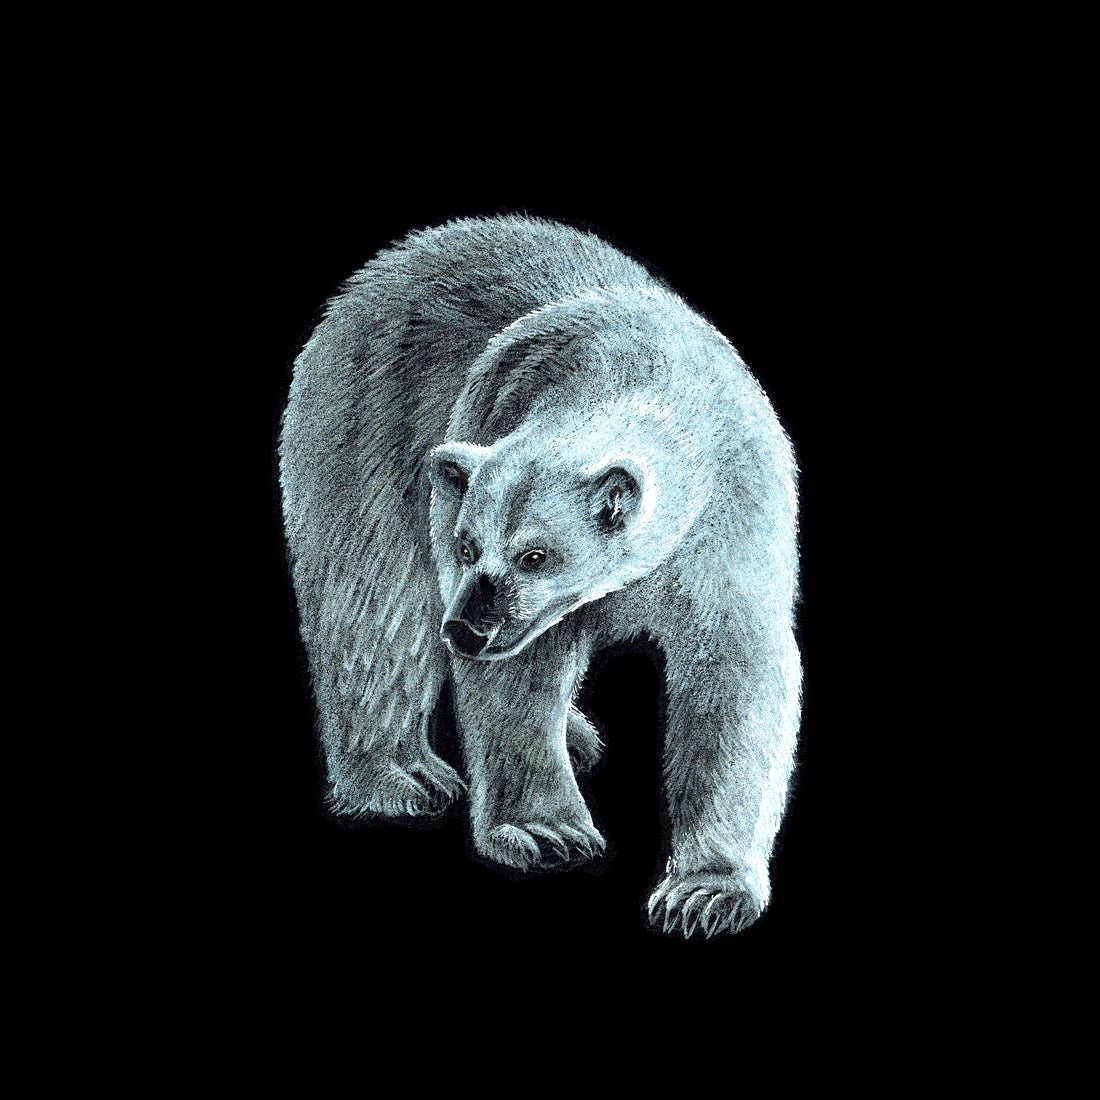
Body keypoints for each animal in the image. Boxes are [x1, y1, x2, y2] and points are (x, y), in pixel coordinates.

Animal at [279, 215, 801, 938]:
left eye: (536, 554)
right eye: (467, 545)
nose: (467, 631)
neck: (645, 371)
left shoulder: (736, 526)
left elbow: (735, 678)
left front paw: (706, 892)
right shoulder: (480, 422)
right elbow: (517, 678)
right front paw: (545, 831)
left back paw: (578, 734)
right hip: (361, 420)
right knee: (375, 604)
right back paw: (403, 775)